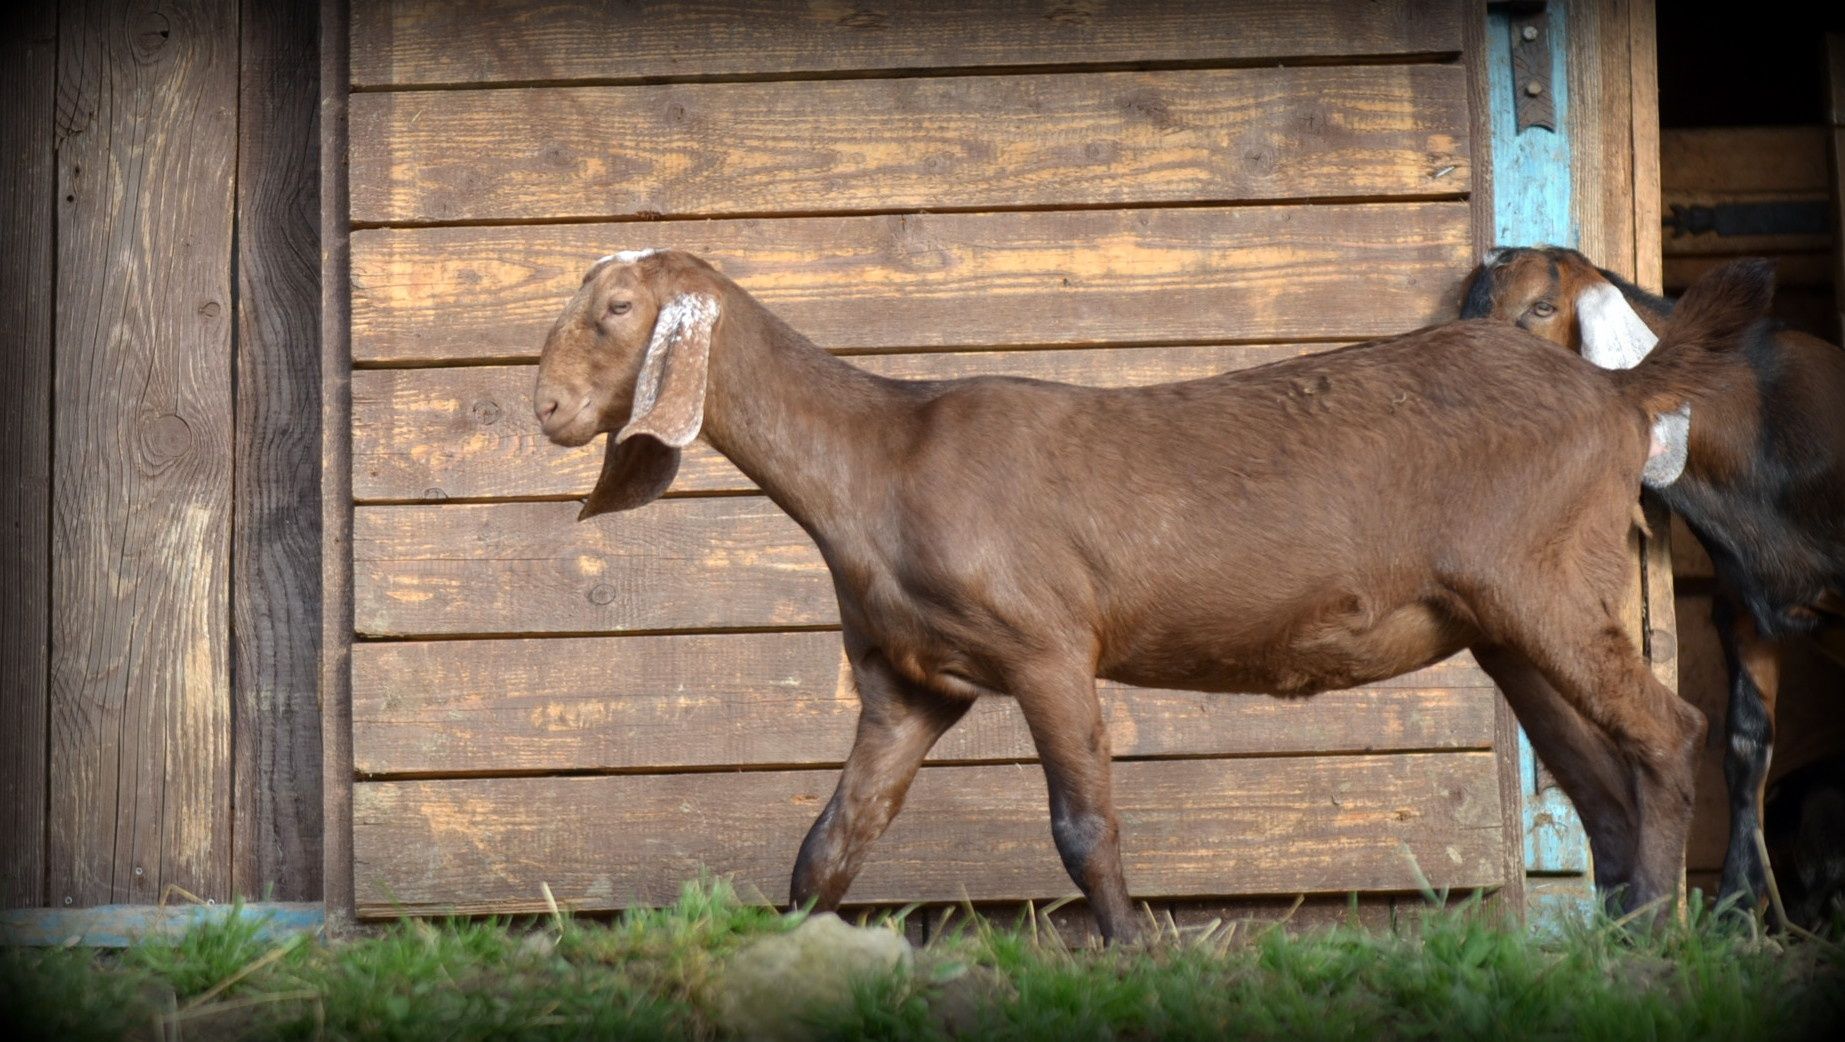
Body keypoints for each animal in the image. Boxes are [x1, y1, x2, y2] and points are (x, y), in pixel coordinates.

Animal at [538, 252, 1771, 944]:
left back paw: (1658, 944)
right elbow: (830, 842)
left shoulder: (1045, 645)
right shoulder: (908, 682)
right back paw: (1617, 939)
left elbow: (1083, 826)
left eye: (616, 305)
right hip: (1509, 614)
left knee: (1668, 731)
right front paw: (786, 947)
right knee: (1601, 779)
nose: (545, 407)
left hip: (1545, 579)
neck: (882, 456)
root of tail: (1621, 396)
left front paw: (1133, 954)